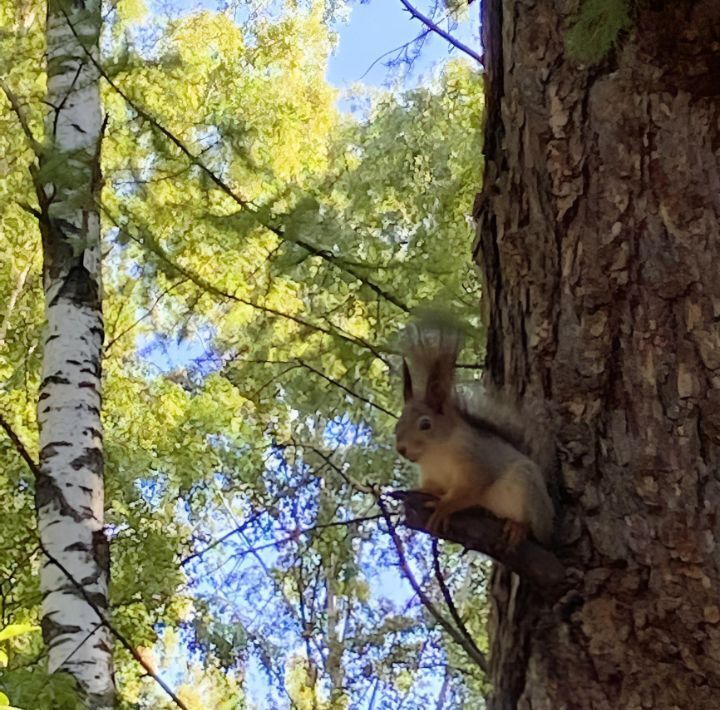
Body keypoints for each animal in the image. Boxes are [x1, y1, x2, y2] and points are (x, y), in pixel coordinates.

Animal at [396, 312, 556, 552]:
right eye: (398, 423)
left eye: (425, 424)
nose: (401, 449)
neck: (436, 453)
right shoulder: (432, 476)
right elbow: (431, 487)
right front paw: (421, 492)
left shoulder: (476, 462)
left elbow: (470, 490)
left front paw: (443, 507)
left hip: (527, 488)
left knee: (535, 530)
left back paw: (519, 527)